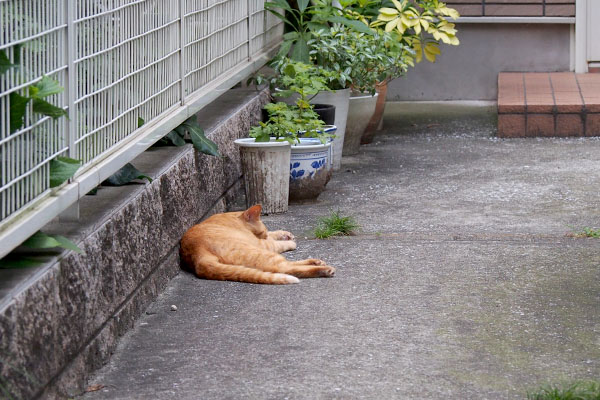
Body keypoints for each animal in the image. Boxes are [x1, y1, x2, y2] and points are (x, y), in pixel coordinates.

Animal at [178, 203, 338, 284]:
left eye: (263, 232)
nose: (263, 235)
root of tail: (198, 256)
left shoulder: (262, 240)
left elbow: (273, 235)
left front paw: (285, 234)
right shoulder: (261, 243)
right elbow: (274, 243)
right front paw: (291, 242)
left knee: (287, 267)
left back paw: (317, 262)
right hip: (261, 253)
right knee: (286, 268)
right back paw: (324, 269)